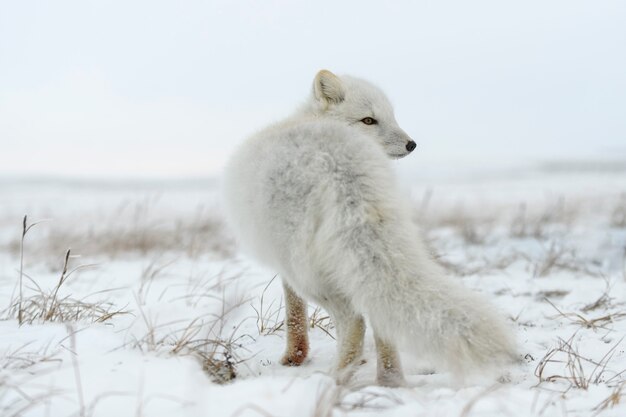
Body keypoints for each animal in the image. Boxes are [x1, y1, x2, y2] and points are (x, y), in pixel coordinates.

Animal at [222, 70, 516, 386]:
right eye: (369, 120)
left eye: (390, 117)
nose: (412, 144)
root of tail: (338, 162)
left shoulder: (285, 268)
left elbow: (294, 313)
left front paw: (293, 358)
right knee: (379, 317)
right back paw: (390, 378)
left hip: (308, 270)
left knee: (354, 320)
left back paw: (336, 378)